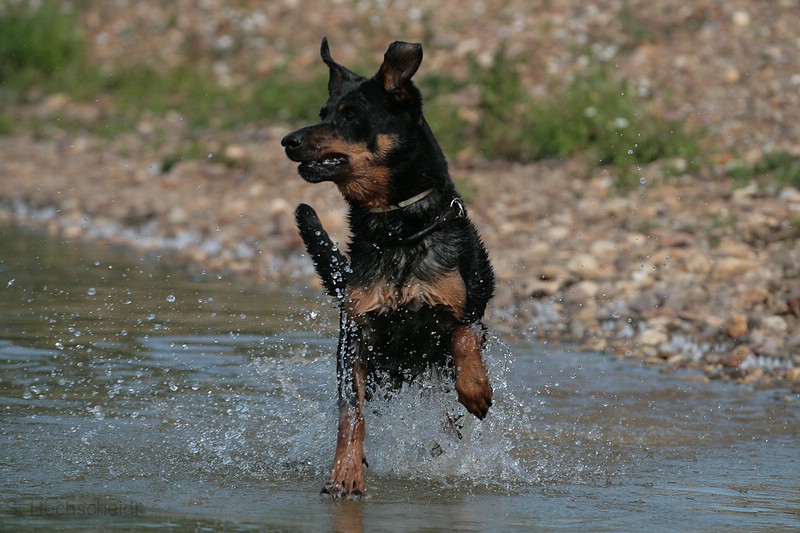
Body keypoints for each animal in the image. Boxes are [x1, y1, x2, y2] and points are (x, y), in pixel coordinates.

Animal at [282, 38, 494, 498]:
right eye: (323, 112)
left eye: (350, 115)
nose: (288, 140)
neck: (397, 229)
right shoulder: (355, 336)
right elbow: (350, 414)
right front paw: (345, 472)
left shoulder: (470, 308)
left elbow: (464, 336)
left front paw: (476, 388)